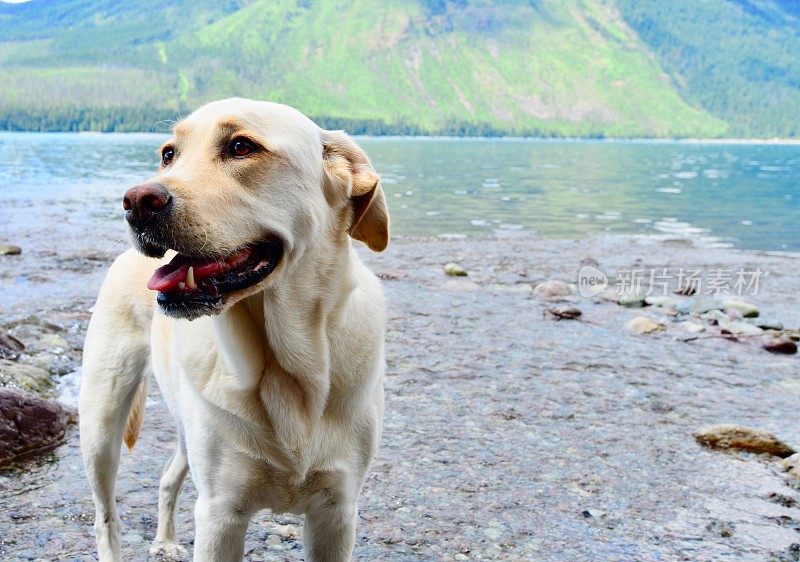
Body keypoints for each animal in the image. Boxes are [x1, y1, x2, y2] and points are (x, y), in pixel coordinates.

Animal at [80, 98, 390, 556]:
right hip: (101, 426)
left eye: (242, 146)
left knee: (168, 479)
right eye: (168, 154)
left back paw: (166, 541)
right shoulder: (220, 514)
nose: (136, 201)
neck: (286, 368)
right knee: (106, 518)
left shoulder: (336, 513)